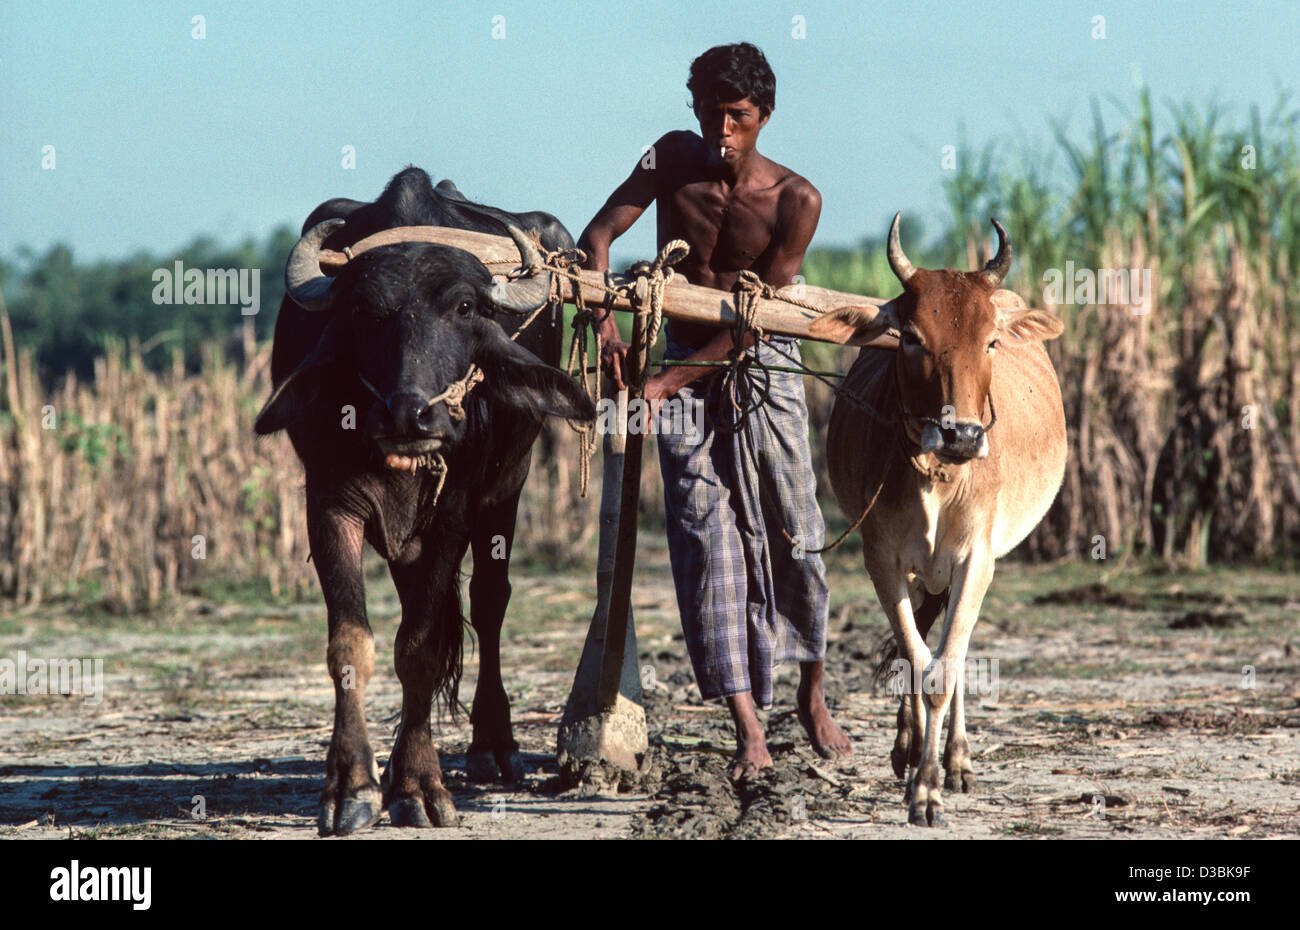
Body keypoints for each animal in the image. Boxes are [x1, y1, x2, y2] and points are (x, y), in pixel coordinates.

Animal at [255, 167, 595, 835]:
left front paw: (418, 786)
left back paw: (493, 747)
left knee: (488, 603)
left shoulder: (453, 513)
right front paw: (353, 786)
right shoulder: (328, 506)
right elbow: (351, 644)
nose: (410, 414)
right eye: (363, 310)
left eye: (463, 307)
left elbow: (420, 648)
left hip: (508, 488)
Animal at [809, 214, 1067, 826]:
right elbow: (916, 658)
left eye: (990, 340)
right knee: (919, 648)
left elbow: (945, 669)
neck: (938, 478)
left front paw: (932, 783)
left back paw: (957, 759)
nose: (963, 435)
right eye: (910, 337)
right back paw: (911, 748)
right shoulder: (881, 560)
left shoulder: (977, 559)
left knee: (956, 648)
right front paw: (915, 776)